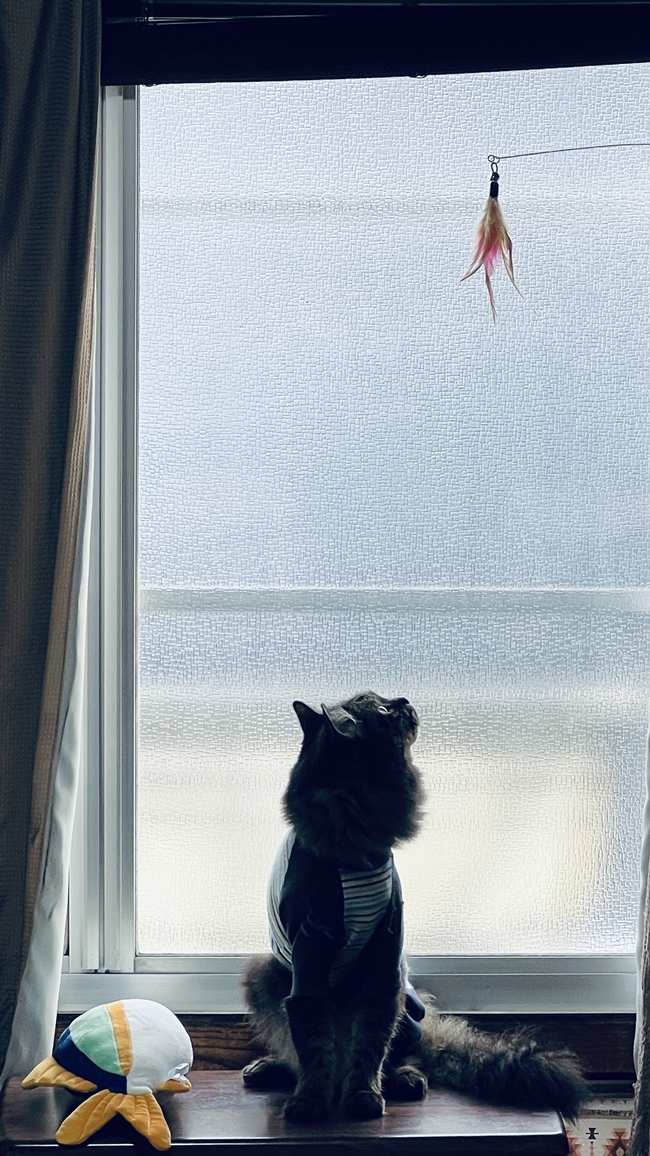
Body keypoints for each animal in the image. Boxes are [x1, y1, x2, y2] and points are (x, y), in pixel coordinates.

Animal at [242, 691, 588, 1124]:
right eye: (381, 709)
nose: (403, 699)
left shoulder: (385, 959)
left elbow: (369, 1047)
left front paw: (362, 1097)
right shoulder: (309, 962)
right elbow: (314, 1046)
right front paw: (312, 1100)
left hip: (407, 1010)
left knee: (401, 1054)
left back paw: (402, 1079)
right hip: (266, 972)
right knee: (292, 1050)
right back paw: (270, 1069)